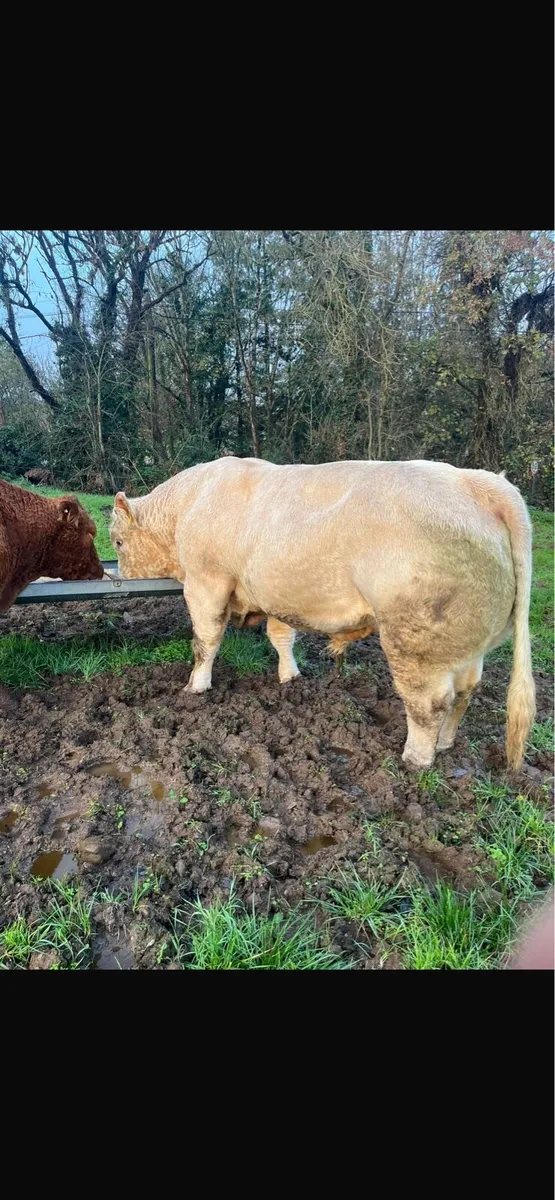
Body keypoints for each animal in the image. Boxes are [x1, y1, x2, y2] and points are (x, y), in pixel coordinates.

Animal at [110, 457, 536, 772]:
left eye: (117, 541)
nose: (122, 578)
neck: (192, 503)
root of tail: (476, 481)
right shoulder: (278, 593)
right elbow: (281, 637)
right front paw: (290, 678)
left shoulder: (206, 581)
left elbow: (206, 639)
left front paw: (195, 687)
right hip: (468, 644)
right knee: (465, 691)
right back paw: (446, 744)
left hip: (416, 641)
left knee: (428, 703)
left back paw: (416, 758)